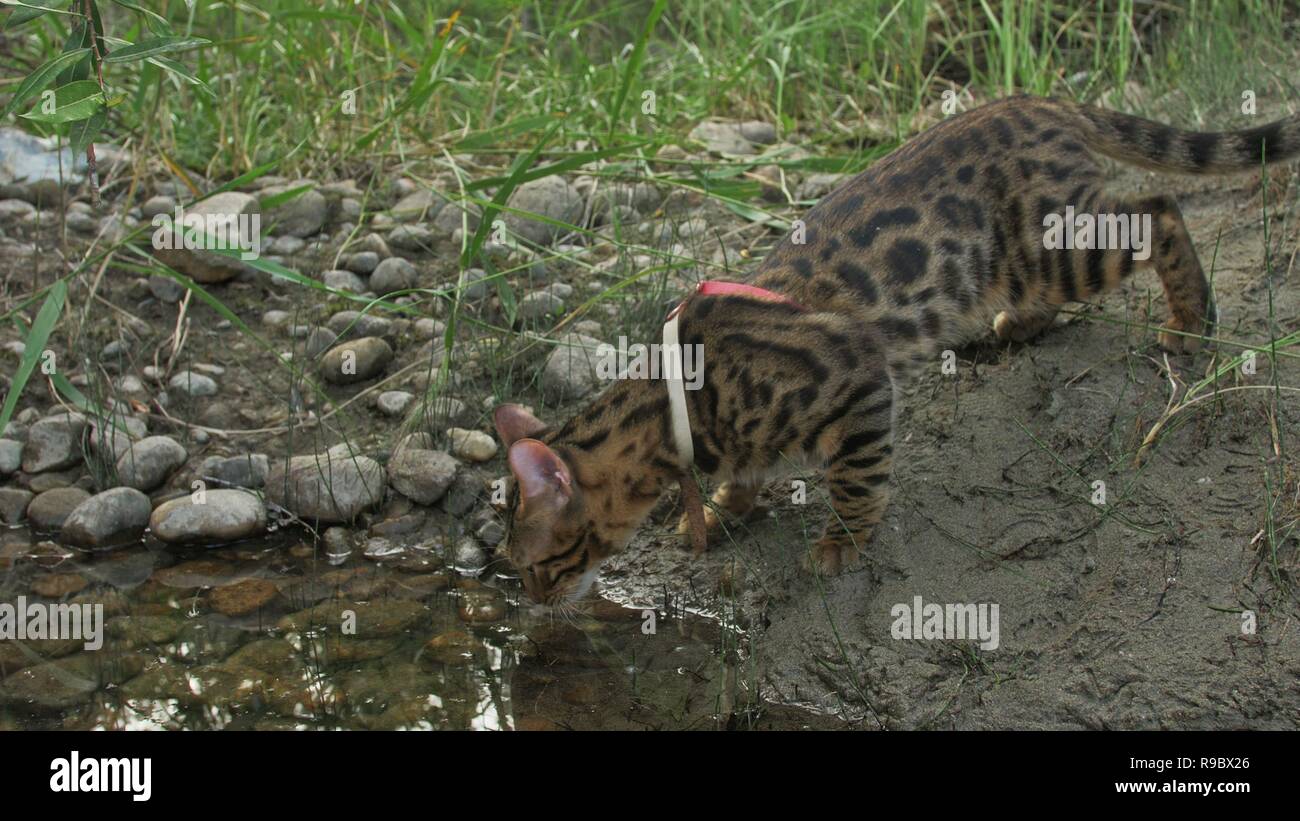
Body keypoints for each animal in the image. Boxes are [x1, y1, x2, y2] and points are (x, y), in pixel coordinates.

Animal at [488, 98, 1300, 610]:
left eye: (534, 564)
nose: (534, 605)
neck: (676, 407)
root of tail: (1040, 101)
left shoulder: (856, 382)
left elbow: (857, 480)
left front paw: (840, 544)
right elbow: (742, 479)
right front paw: (719, 512)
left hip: (1054, 245)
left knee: (1159, 212)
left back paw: (1190, 319)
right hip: (1017, 262)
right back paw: (1017, 325)